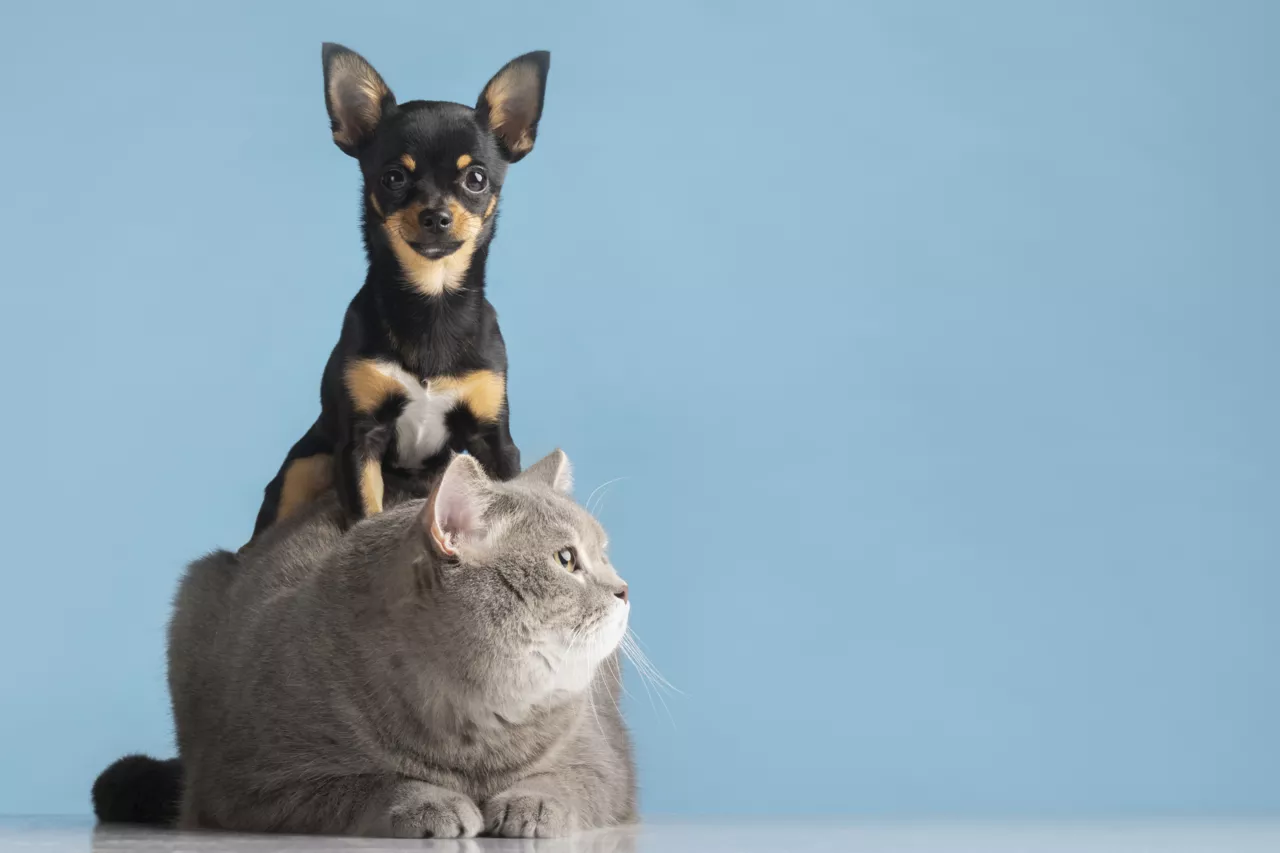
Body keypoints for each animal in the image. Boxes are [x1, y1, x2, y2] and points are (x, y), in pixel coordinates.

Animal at [162, 448, 637, 835]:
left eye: (604, 554)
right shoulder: (252, 783)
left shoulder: (606, 762)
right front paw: (430, 803)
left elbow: (566, 781)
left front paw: (533, 804)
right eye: (565, 559)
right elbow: (373, 782)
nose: (624, 589)